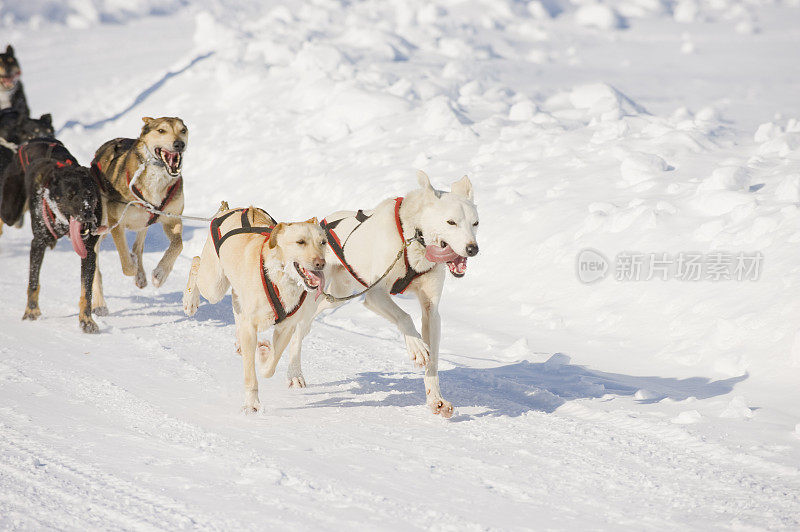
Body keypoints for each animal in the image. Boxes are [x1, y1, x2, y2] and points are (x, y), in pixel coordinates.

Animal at [90, 116, 187, 316]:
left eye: (183, 130)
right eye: (161, 131)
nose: (179, 144)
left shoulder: (172, 218)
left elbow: (178, 245)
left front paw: (160, 274)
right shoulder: (116, 223)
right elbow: (126, 264)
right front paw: (132, 266)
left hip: (144, 222)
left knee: (138, 245)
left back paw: (140, 273)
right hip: (101, 227)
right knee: (95, 267)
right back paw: (99, 304)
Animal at [183, 204, 326, 412]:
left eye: (323, 242)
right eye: (300, 242)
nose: (321, 263)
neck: (279, 276)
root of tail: (231, 209)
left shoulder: (286, 328)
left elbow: (270, 366)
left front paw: (264, 353)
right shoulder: (250, 328)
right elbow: (251, 375)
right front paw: (252, 404)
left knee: (236, 307)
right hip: (214, 285)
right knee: (195, 262)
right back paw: (190, 301)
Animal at [288, 170, 478, 416]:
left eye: (475, 223)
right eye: (451, 222)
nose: (473, 248)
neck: (412, 237)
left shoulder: (432, 311)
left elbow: (433, 359)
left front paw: (435, 398)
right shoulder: (375, 295)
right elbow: (405, 317)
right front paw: (417, 347)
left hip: (339, 294)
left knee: (313, 317)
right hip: (316, 290)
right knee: (299, 328)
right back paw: (294, 373)